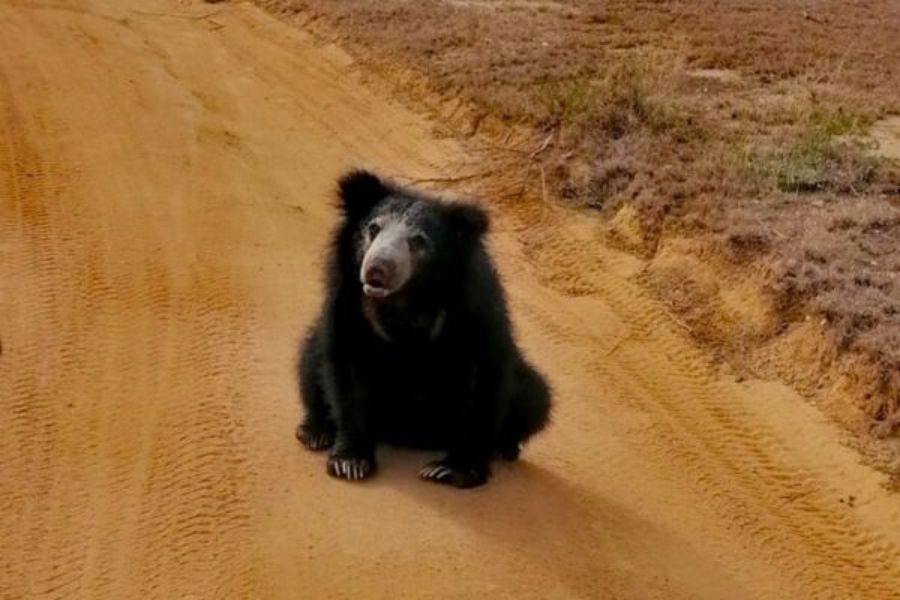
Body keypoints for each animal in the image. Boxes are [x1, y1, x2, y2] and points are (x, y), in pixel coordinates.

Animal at [296, 169, 551, 488]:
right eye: (373, 228)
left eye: (418, 241)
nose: (377, 269)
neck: (406, 298)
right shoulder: (347, 301)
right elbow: (346, 365)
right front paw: (350, 462)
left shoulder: (475, 309)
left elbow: (484, 379)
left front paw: (451, 469)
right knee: (310, 359)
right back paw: (316, 432)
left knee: (535, 396)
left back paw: (504, 448)